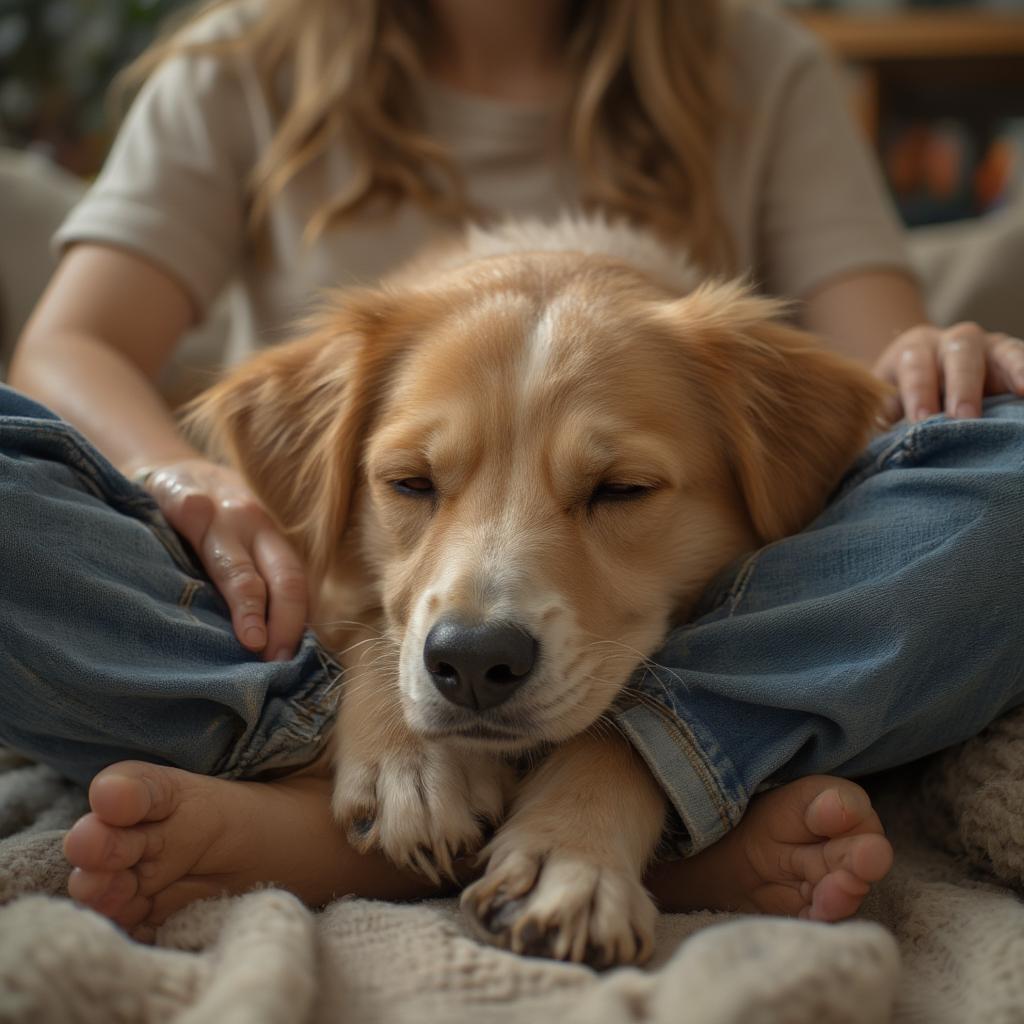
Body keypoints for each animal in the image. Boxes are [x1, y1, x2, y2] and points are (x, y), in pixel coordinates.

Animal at [186, 216, 888, 966]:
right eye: (409, 481)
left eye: (623, 489)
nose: (471, 660)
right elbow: (376, 628)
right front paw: (413, 762)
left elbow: (621, 729)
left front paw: (572, 858)